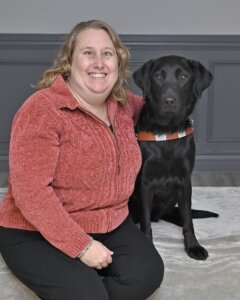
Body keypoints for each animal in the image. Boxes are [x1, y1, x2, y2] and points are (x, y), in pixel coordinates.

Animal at [130, 55, 218, 260]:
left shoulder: (185, 181)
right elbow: (146, 222)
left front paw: (193, 246)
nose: (169, 100)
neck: (166, 133)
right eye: (158, 76)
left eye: (184, 77)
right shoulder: (144, 182)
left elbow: (188, 220)